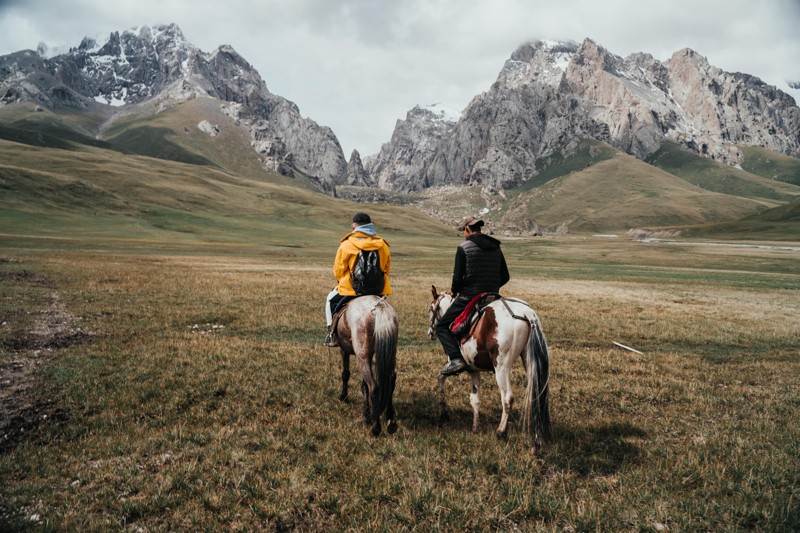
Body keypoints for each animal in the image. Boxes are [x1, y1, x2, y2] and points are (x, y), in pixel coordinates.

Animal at [330, 296, 398, 436]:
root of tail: (379, 307)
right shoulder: (370, 355)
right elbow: (363, 385)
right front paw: (366, 415)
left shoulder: (345, 350)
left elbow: (345, 374)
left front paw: (343, 396)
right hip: (388, 353)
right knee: (390, 380)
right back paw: (390, 419)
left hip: (361, 355)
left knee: (374, 386)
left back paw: (376, 427)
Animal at [432, 286, 552, 448]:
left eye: (431, 308)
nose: (431, 332)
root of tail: (526, 313)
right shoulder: (474, 370)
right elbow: (475, 399)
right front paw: (475, 428)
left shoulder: (455, 365)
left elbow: (441, 378)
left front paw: (443, 414)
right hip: (529, 361)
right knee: (537, 394)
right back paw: (538, 437)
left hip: (501, 367)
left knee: (507, 398)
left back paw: (501, 431)